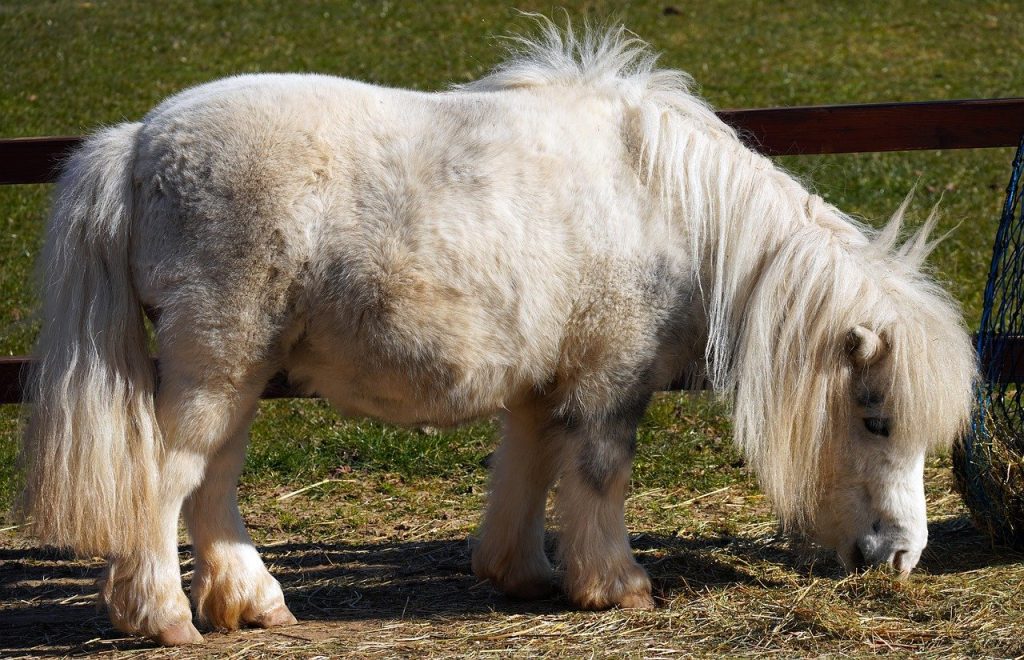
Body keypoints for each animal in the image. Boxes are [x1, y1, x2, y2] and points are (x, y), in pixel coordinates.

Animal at [16, 21, 974, 642]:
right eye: (877, 419)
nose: (902, 557)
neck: (672, 208)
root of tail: (139, 141)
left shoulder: (545, 383)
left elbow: (529, 469)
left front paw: (523, 573)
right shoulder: (610, 379)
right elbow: (598, 476)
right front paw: (616, 585)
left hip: (241, 375)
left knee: (212, 484)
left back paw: (252, 602)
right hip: (218, 365)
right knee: (169, 479)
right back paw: (164, 616)